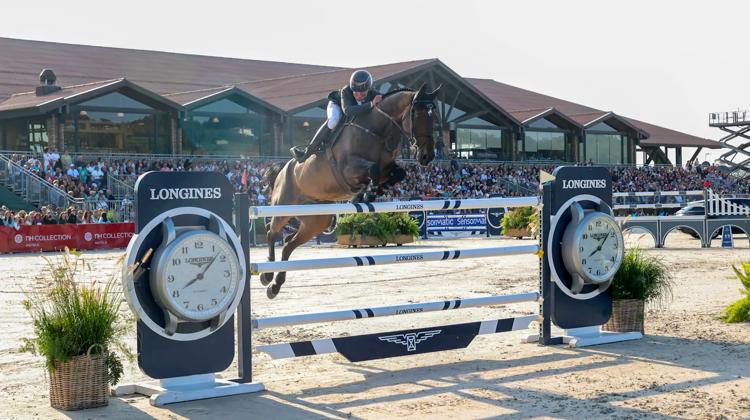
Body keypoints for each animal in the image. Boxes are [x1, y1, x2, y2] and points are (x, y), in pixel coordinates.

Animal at [262, 83, 444, 296]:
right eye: (418, 115)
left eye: (434, 117)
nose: (427, 156)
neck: (376, 131)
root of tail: (282, 169)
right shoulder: (348, 168)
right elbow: (372, 170)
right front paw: (365, 193)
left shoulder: (387, 167)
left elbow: (397, 173)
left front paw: (370, 193)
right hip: (283, 206)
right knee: (272, 231)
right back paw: (266, 275)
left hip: (317, 220)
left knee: (288, 243)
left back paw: (275, 284)